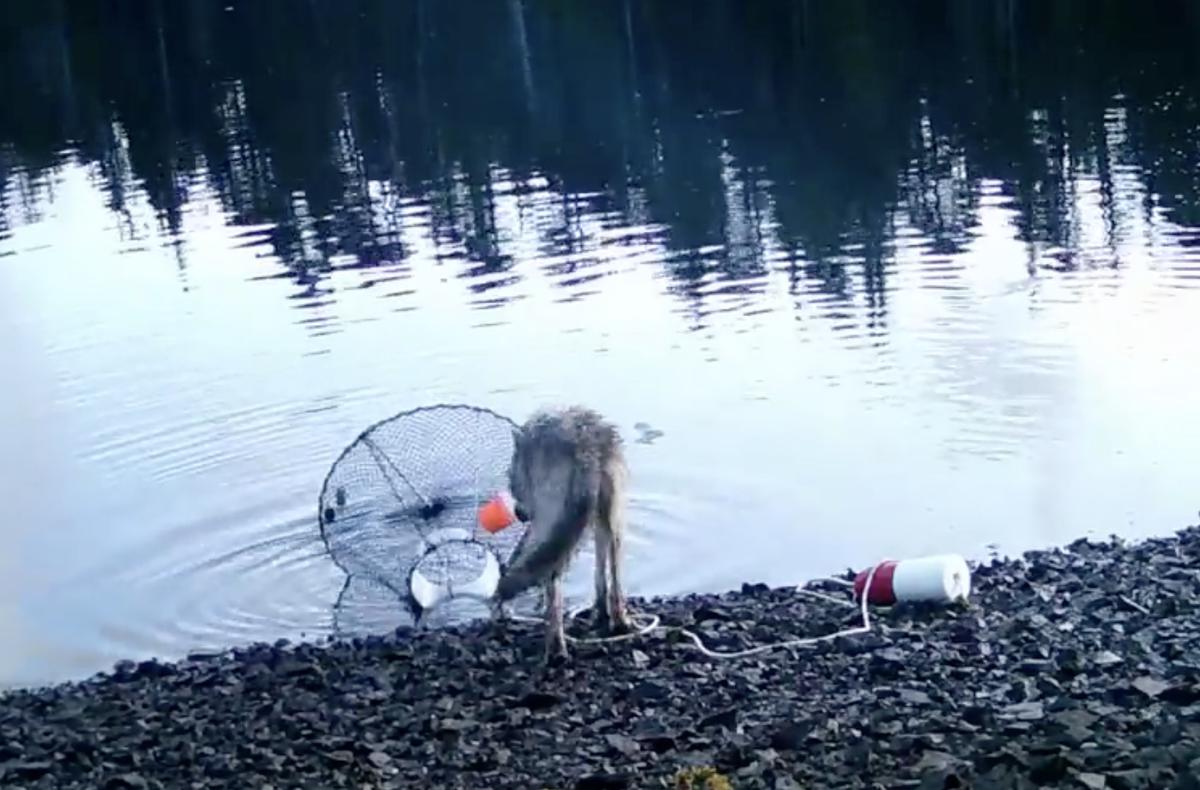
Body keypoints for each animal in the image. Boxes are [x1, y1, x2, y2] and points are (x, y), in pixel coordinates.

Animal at [493, 406, 633, 663]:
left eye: (511, 482)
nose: (519, 514)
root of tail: (586, 444)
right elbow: (601, 565)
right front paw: (601, 605)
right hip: (614, 506)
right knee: (615, 566)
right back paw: (618, 619)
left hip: (552, 511)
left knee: (553, 579)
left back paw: (556, 647)